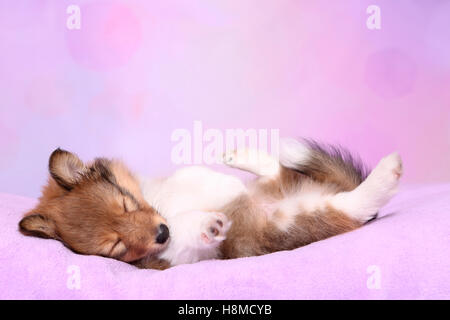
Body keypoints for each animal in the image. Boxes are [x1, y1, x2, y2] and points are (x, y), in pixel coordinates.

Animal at [19, 139, 402, 268]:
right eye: (116, 246)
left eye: (125, 204)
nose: (161, 233)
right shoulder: (176, 258)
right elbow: (190, 229)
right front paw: (209, 223)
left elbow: (191, 177)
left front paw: (221, 184)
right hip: (297, 220)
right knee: (356, 205)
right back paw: (387, 170)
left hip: (282, 189)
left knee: (274, 171)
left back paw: (239, 156)